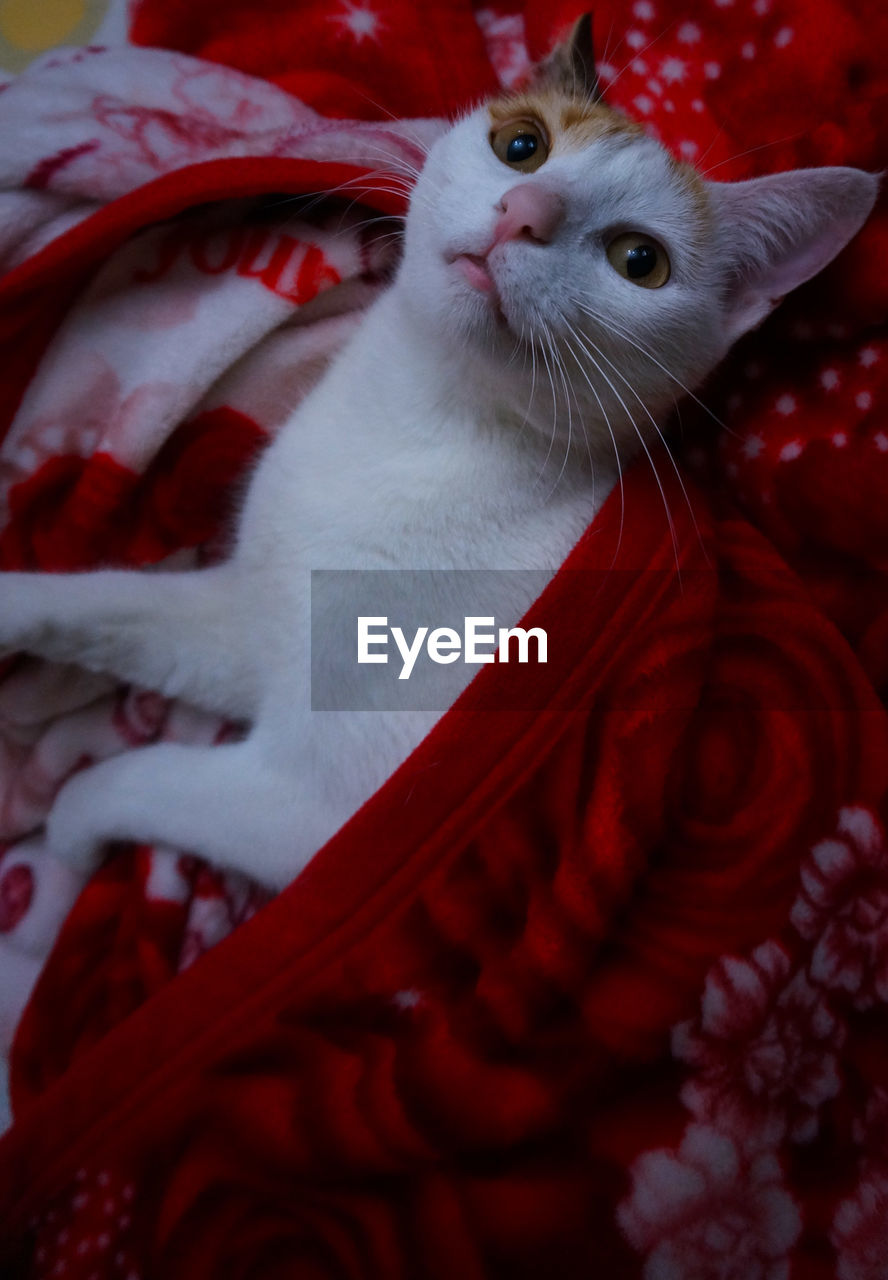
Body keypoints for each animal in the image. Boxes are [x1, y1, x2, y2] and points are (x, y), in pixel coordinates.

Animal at [0, 15, 880, 885]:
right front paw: (16, 607)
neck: (419, 421)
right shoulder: (249, 621)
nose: (525, 209)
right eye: (522, 145)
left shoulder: (330, 813)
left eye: (641, 261)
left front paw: (73, 833)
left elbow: (146, 781)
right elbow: (111, 603)